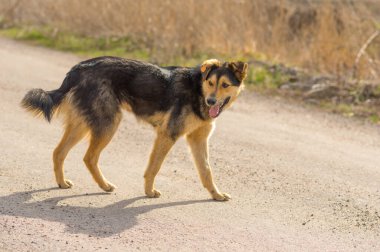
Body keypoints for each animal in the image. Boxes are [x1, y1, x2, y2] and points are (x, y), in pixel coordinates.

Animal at [22, 57, 248, 201]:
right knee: (89, 157)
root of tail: (78, 67)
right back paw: (104, 185)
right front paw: (149, 192)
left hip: (84, 124)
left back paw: (62, 183)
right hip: (109, 123)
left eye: (225, 85)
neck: (197, 90)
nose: (211, 102)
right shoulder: (168, 134)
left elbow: (206, 171)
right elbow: (154, 167)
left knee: (59, 152)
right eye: (210, 82)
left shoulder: (197, 140)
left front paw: (216, 195)